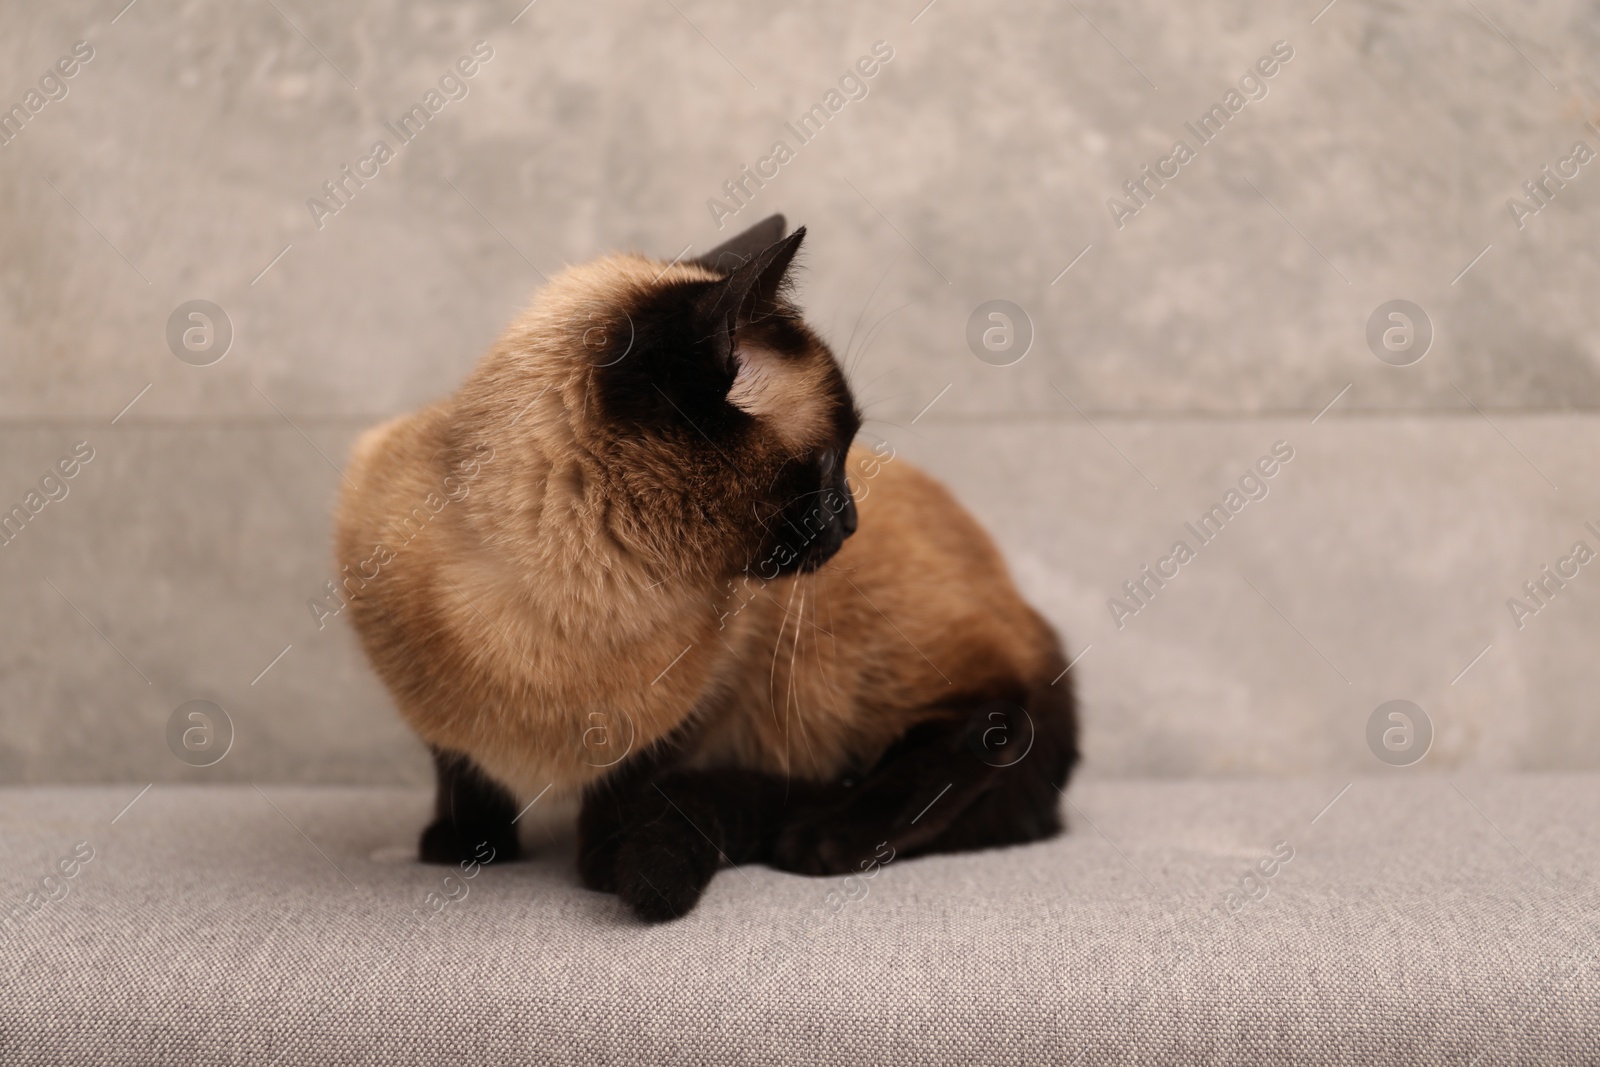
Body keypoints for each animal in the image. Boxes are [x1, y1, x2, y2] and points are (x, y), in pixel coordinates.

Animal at [340, 214, 1088, 921]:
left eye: (849, 454)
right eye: (827, 461)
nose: (852, 521)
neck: (565, 601)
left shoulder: (703, 696)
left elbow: (627, 780)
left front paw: (603, 863)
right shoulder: (425, 703)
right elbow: (459, 766)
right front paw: (467, 847)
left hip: (844, 664)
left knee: (999, 719)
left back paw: (823, 837)